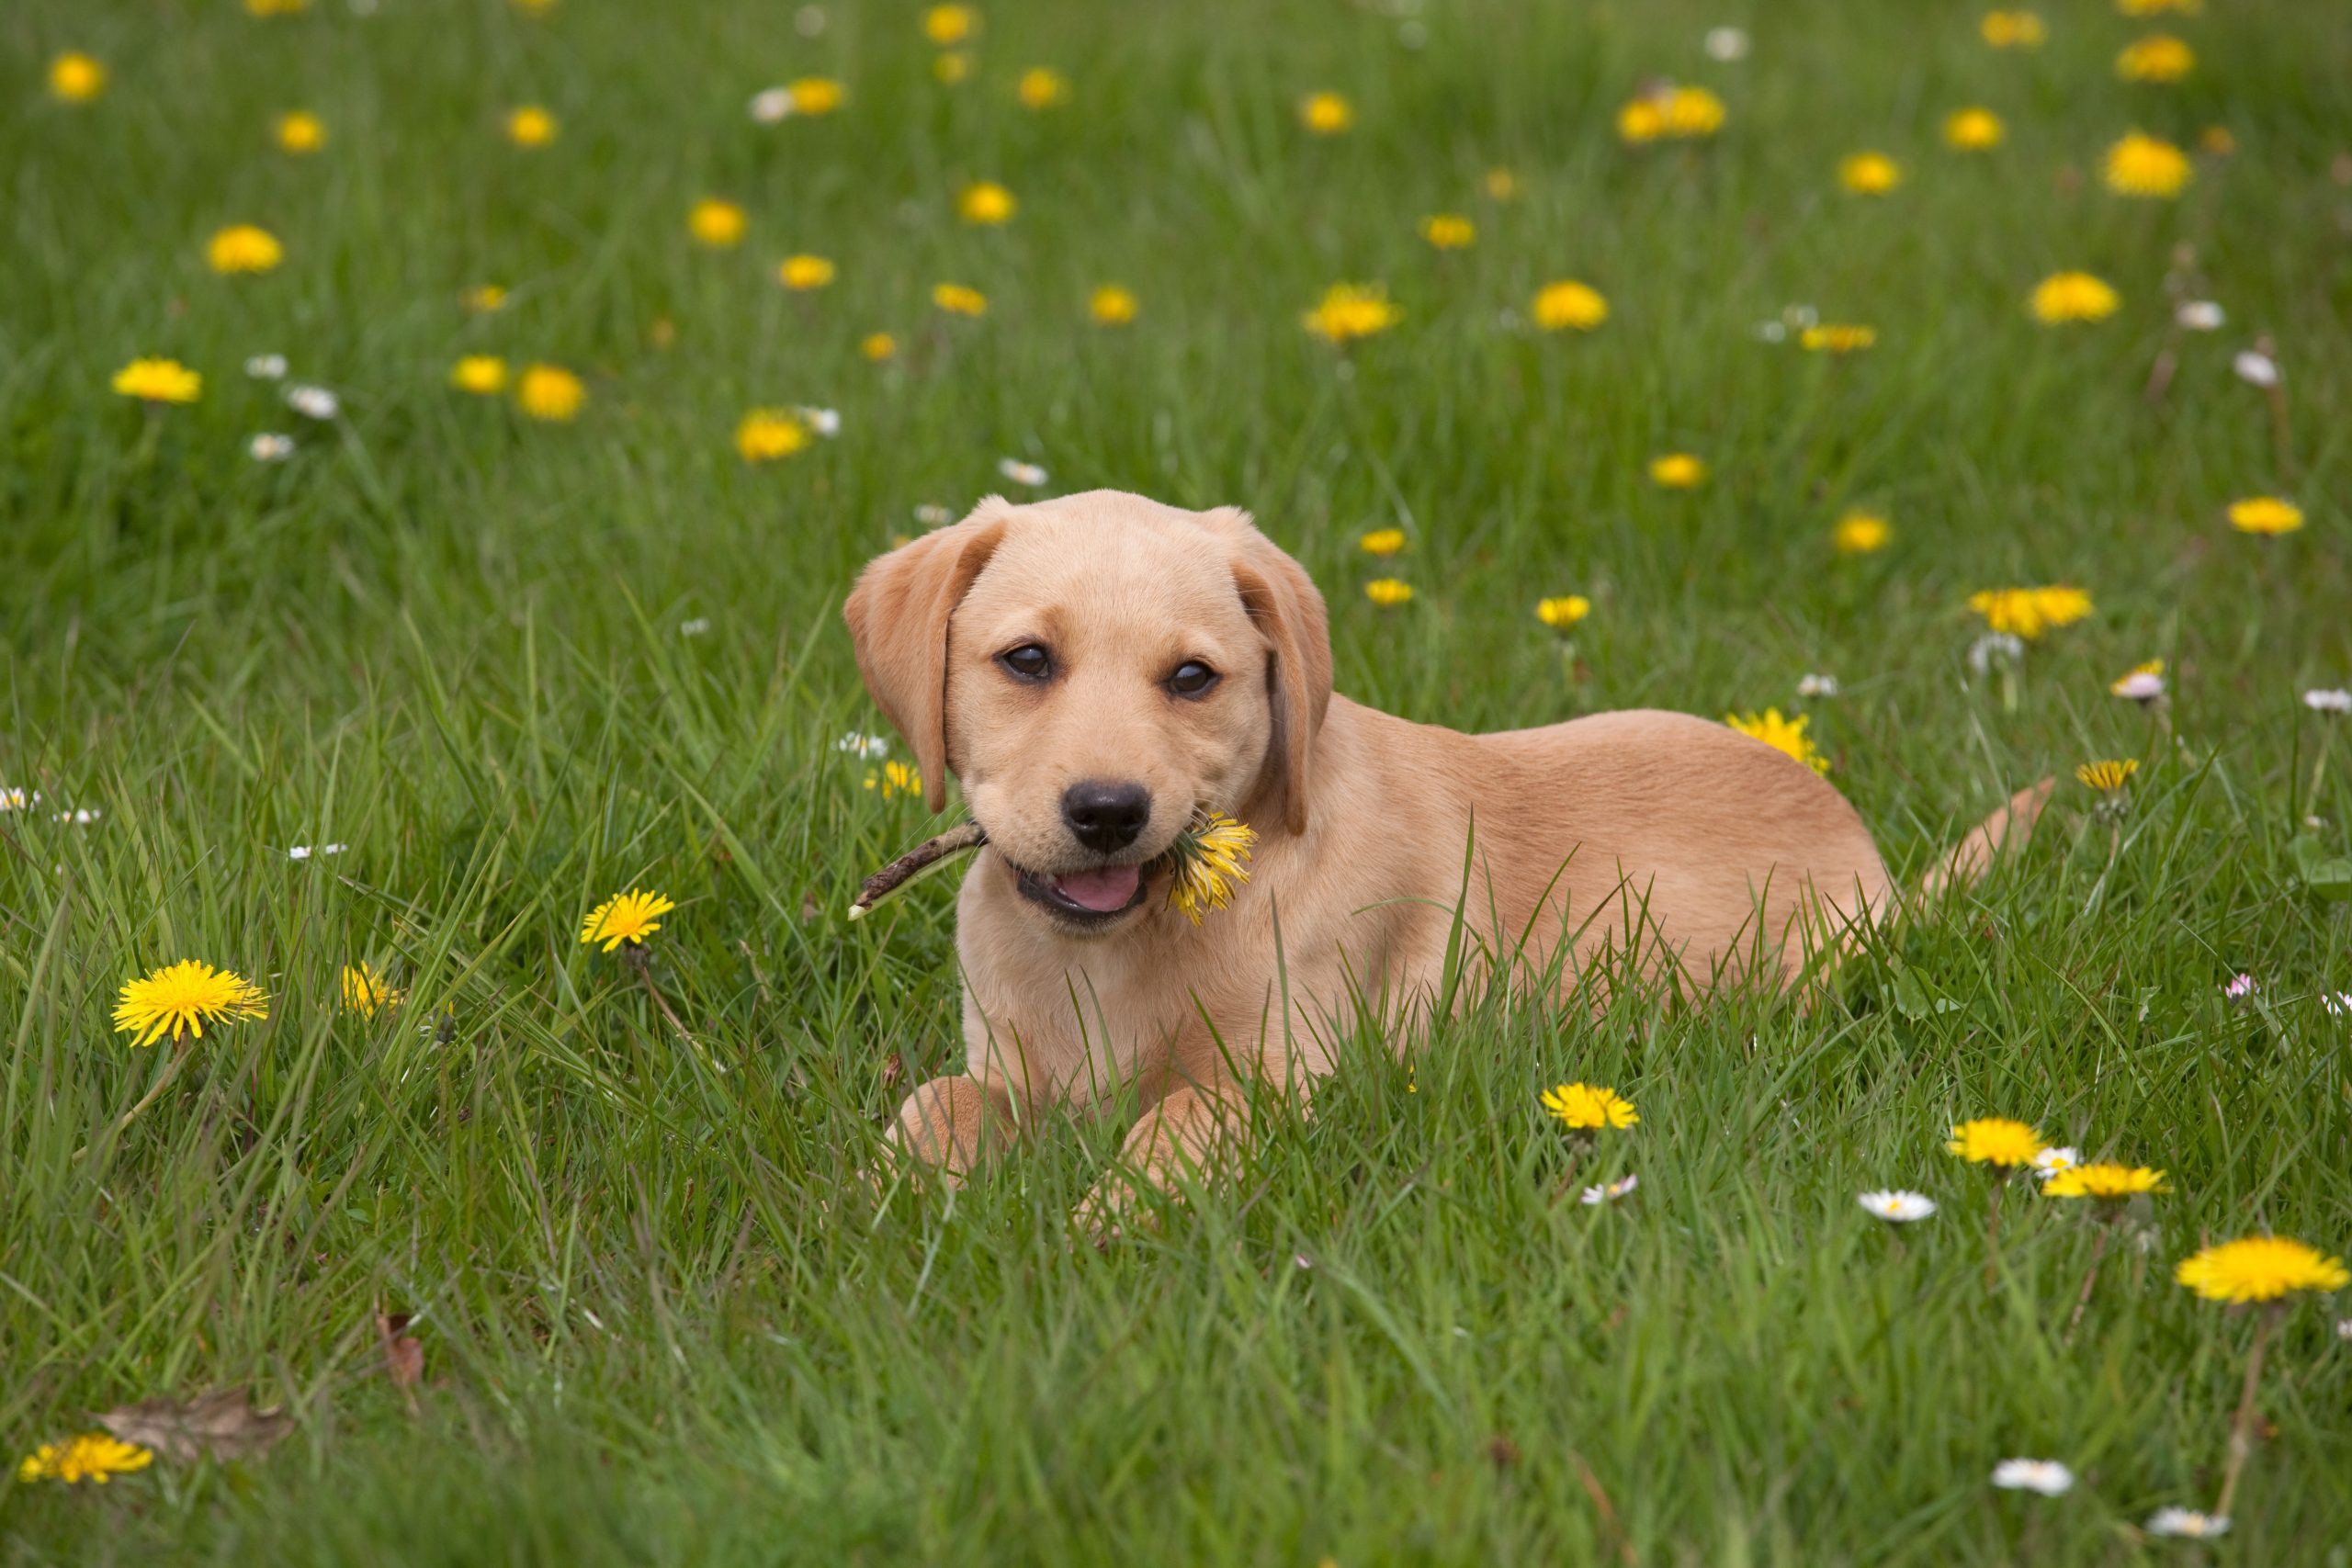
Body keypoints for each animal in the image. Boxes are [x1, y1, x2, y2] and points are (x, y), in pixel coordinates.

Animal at [846, 491, 2041, 1213]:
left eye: (1191, 679)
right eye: (1027, 661)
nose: (1106, 811)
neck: (1110, 952)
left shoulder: (1280, 1075)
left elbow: (1180, 1125)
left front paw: (1096, 1224)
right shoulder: (1005, 1063)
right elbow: (936, 1105)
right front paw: (882, 1203)